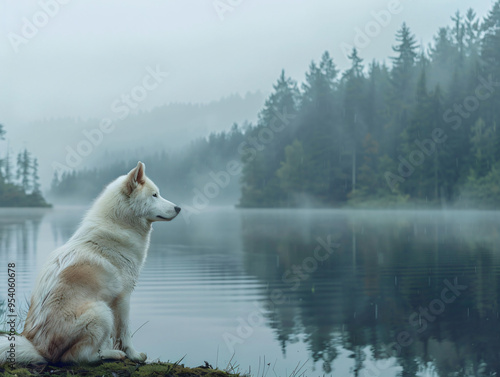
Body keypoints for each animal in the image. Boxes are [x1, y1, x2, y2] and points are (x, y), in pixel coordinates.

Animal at [0, 161, 180, 362]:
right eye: (154, 195)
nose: (178, 208)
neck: (119, 226)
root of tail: (40, 350)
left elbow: (117, 335)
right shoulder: (123, 298)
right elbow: (125, 332)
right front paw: (133, 355)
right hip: (101, 312)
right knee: (78, 357)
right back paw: (113, 354)